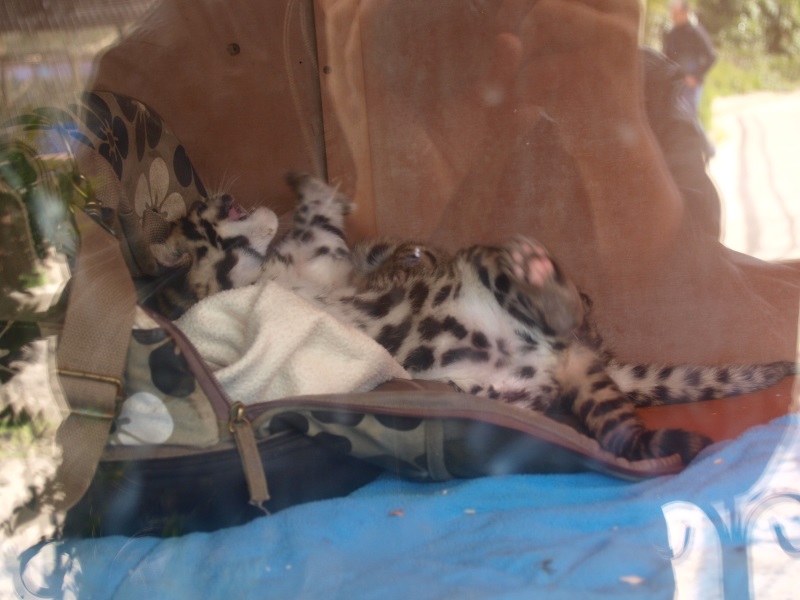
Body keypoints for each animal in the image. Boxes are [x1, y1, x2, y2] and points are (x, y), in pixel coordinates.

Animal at [147, 172, 796, 465]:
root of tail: (564, 356)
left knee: (562, 315)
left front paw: (309, 187)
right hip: (509, 387)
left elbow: (319, 219)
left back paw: (541, 276)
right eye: (197, 215)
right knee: (595, 416)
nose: (215, 196)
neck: (277, 270)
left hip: (488, 270)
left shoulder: (325, 256)